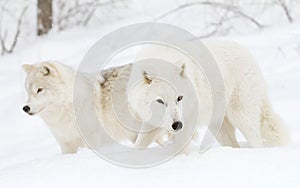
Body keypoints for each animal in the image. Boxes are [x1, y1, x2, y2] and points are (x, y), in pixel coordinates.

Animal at [133, 40, 290, 150]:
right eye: (160, 101)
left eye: (179, 98)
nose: (177, 124)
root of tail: (247, 53)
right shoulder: (150, 123)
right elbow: (139, 144)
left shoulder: (188, 122)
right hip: (218, 128)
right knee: (235, 145)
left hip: (242, 118)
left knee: (257, 143)